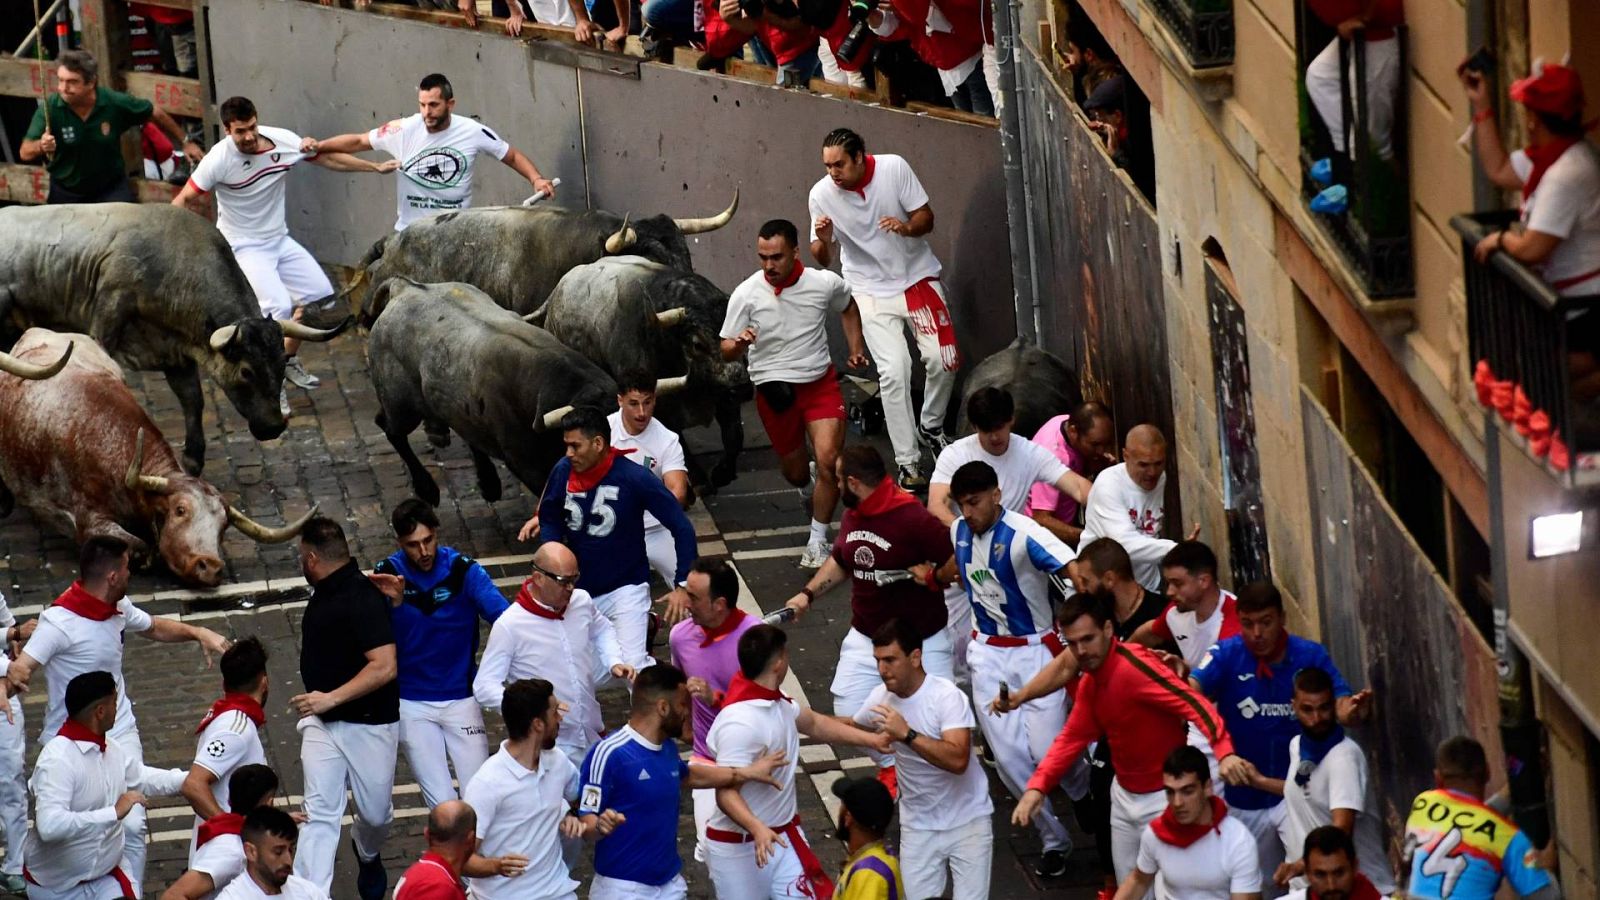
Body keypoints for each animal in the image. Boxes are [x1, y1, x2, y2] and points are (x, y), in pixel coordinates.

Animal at [0, 200, 347, 474]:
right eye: (247, 371)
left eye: (282, 363)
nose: (274, 426)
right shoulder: (107, 316)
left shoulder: (176, 354)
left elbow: (193, 399)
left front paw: (193, 458)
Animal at [368, 278, 694, 506]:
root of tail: (405, 287)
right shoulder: (528, 464)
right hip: (402, 406)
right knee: (389, 428)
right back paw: (427, 489)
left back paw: (488, 483)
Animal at [528, 256, 745, 483]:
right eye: (697, 344)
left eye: (741, 336)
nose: (742, 388)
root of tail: (556, 291)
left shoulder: (724, 396)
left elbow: (733, 435)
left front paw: (723, 473)